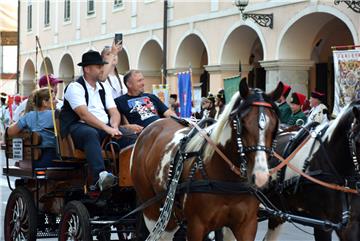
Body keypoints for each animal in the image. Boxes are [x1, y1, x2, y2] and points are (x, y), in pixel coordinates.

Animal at [131, 79, 282, 241]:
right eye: (242, 124)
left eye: (275, 126)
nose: (260, 177)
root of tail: (151, 127)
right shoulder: (196, 226)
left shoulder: (247, 225)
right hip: (152, 208)